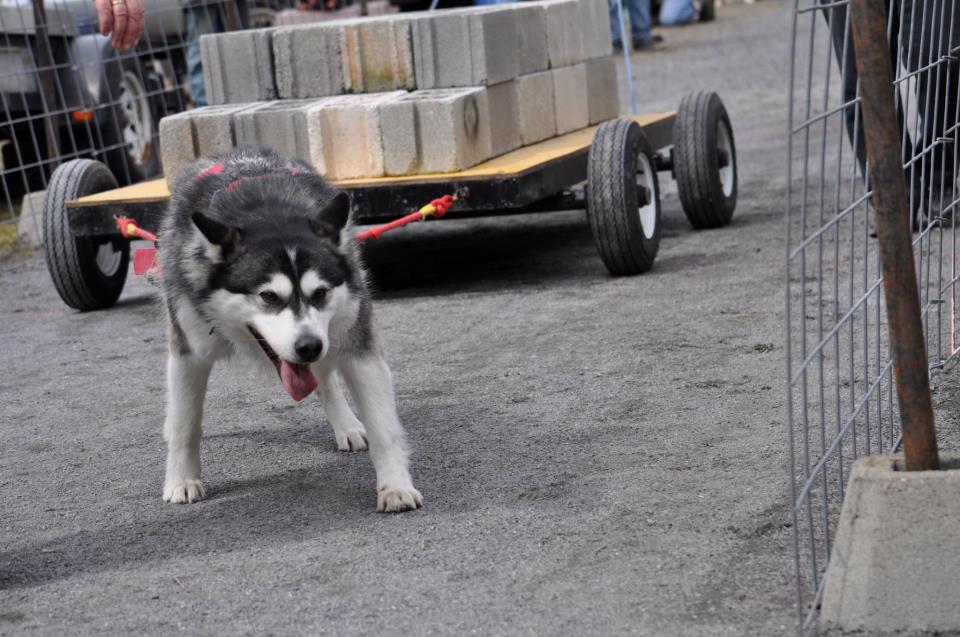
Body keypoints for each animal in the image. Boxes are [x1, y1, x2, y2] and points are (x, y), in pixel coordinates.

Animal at [159, 145, 422, 512]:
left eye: (321, 293)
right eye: (268, 296)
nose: (308, 347)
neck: (266, 211)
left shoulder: (357, 345)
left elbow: (383, 425)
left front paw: (395, 485)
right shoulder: (188, 353)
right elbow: (186, 423)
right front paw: (182, 480)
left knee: (325, 379)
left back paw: (346, 424)